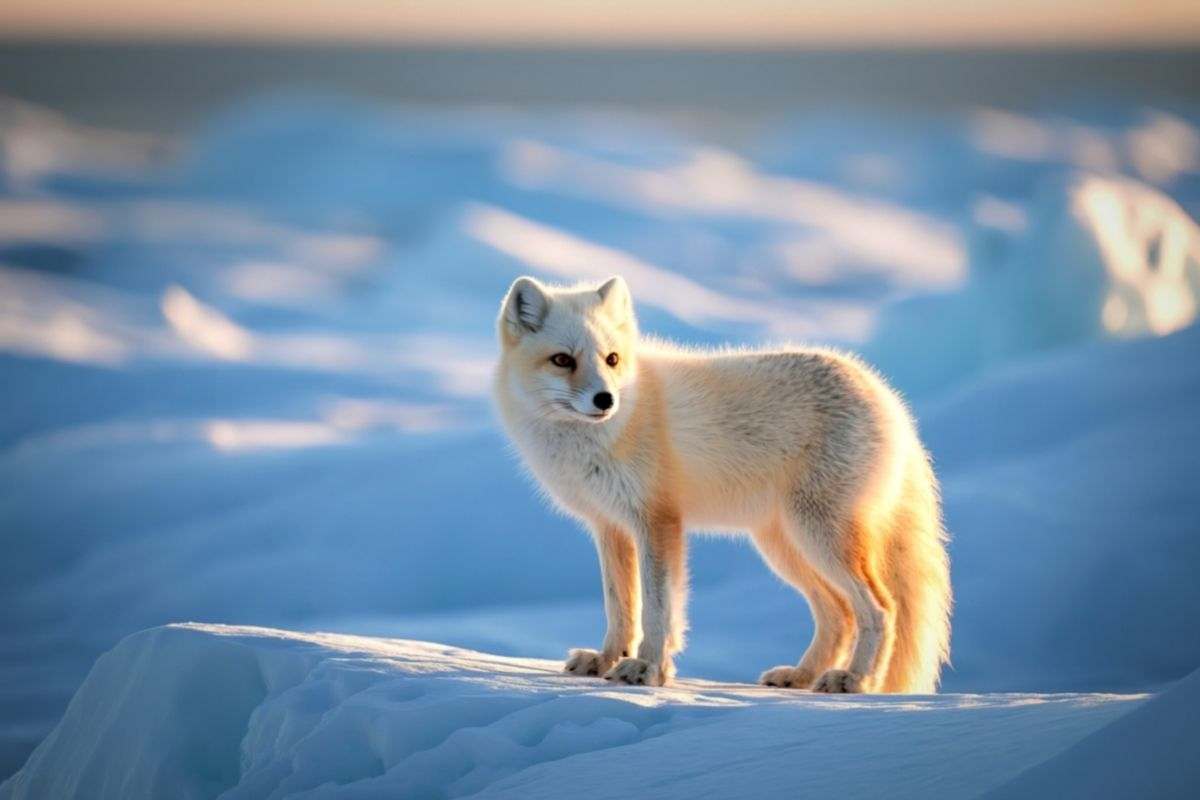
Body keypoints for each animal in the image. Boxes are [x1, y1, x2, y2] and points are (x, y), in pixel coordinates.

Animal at [493, 275, 951, 693]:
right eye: (562, 360)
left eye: (612, 359)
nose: (606, 400)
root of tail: (888, 398)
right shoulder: (610, 526)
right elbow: (620, 606)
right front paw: (606, 660)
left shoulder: (657, 521)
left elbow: (658, 608)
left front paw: (648, 669)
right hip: (784, 546)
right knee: (840, 615)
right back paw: (802, 676)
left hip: (818, 538)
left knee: (880, 610)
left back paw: (855, 680)